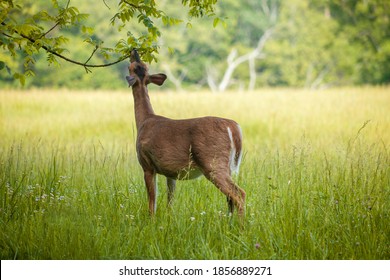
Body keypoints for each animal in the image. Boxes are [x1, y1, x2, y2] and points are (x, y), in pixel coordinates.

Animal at [126, 49, 245, 218]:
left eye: (133, 67)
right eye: (142, 65)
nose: (134, 51)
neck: (144, 120)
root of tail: (233, 126)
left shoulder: (147, 163)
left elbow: (152, 201)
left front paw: (151, 220)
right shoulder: (170, 172)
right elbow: (170, 200)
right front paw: (169, 218)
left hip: (213, 162)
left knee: (239, 194)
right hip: (225, 165)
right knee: (231, 198)